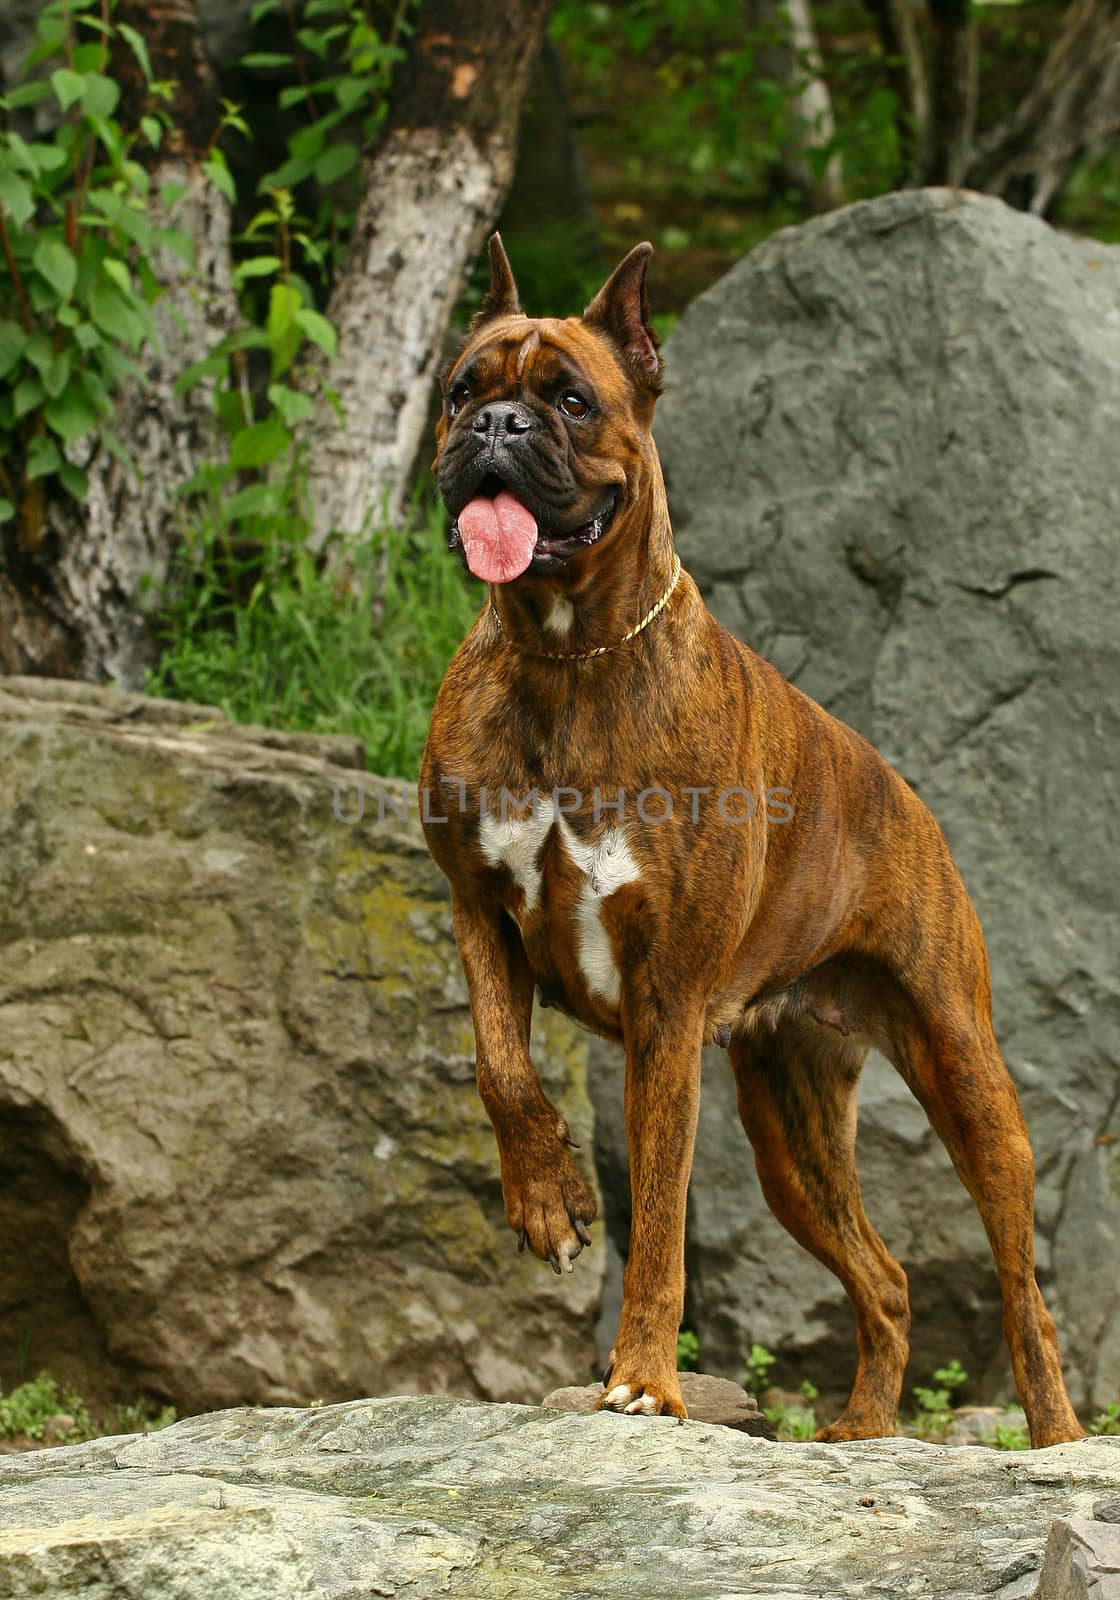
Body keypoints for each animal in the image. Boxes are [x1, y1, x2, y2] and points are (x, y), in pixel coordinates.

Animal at [416, 236, 1081, 1452]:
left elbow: (661, 1220)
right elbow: (501, 1068)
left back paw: (1055, 1442)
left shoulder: (667, 1008)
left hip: (965, 1074)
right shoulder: (478, 906)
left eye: (570, 401)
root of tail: (903, 792)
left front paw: (643, 1382)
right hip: (791, 1131)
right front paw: (550, 1201)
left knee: (1021, 1286)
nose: (496, 428)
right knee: (887, 1280)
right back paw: (860, 1433)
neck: (566, 656)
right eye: (460, 392)